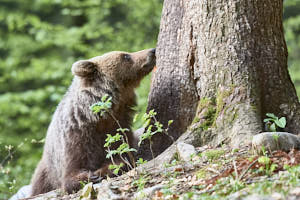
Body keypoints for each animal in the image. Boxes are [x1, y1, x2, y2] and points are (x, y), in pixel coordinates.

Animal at [30, 48, 156, 195]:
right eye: (126, 56)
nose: (152, 51)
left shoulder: (119, 127)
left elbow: (122, 155)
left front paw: (103, 171)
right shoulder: (75, 136)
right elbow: (71, 172)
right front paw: (89, 176)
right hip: (45, 173)